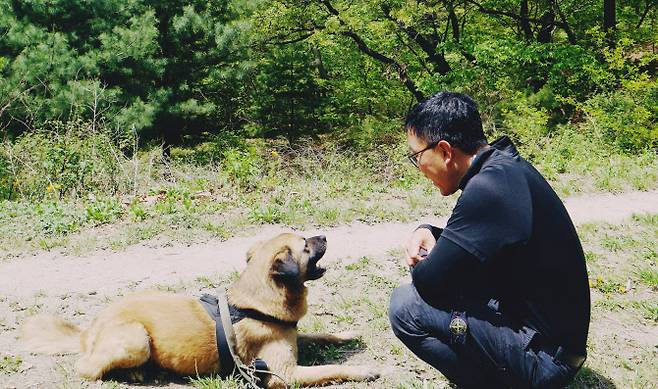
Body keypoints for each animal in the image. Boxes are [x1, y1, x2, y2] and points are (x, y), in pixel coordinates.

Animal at [21, 232, 380, 386]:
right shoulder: (283, 374)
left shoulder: (291, 335)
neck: (253, 303)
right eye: (306, 245)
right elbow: (330, 369)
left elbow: (319, 333)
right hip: (136, 339)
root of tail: (89, 332)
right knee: (86, 367)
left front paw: (346, 333)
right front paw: (363, 370)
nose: (324, 234)